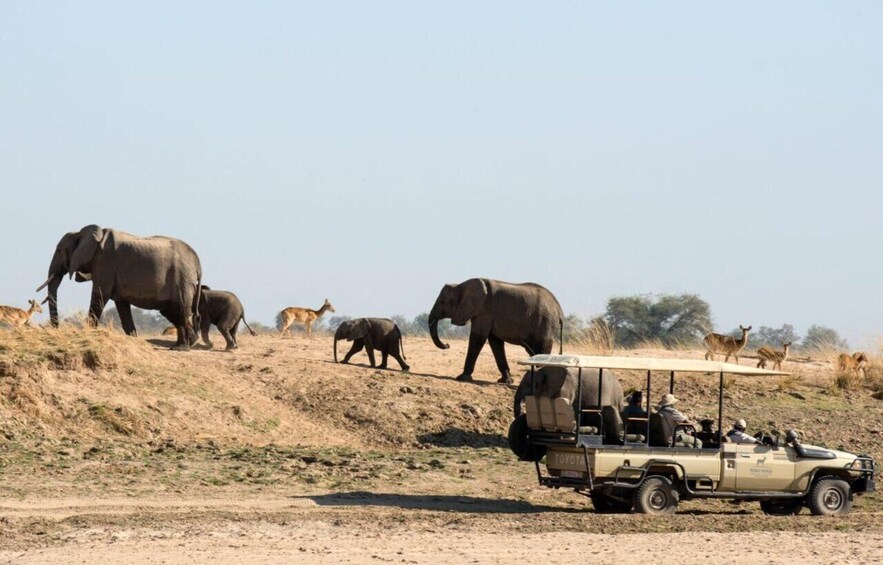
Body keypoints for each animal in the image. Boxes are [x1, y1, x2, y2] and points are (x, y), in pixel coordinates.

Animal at [35, 225, 202, 350]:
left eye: (59, 250)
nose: (56, 328)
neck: (83, 234)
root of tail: (198, 264)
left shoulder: (105, 262)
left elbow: (100, 296)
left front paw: (87, 333)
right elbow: (122, 305)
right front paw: (133, 339)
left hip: (181, 279)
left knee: (180, 310)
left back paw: (181, 348)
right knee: (172, 312)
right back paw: (190, 342)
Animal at [428, 278, 564, 384]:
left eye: (442, 302)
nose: (447, 345)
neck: (461, 285)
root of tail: (560, 310)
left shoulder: (485, 310)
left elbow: (478, 338)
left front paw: (461, 378)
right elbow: (495, 342)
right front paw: (505, 381)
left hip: (545, 323)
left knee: (541, 350)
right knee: (533, 352)